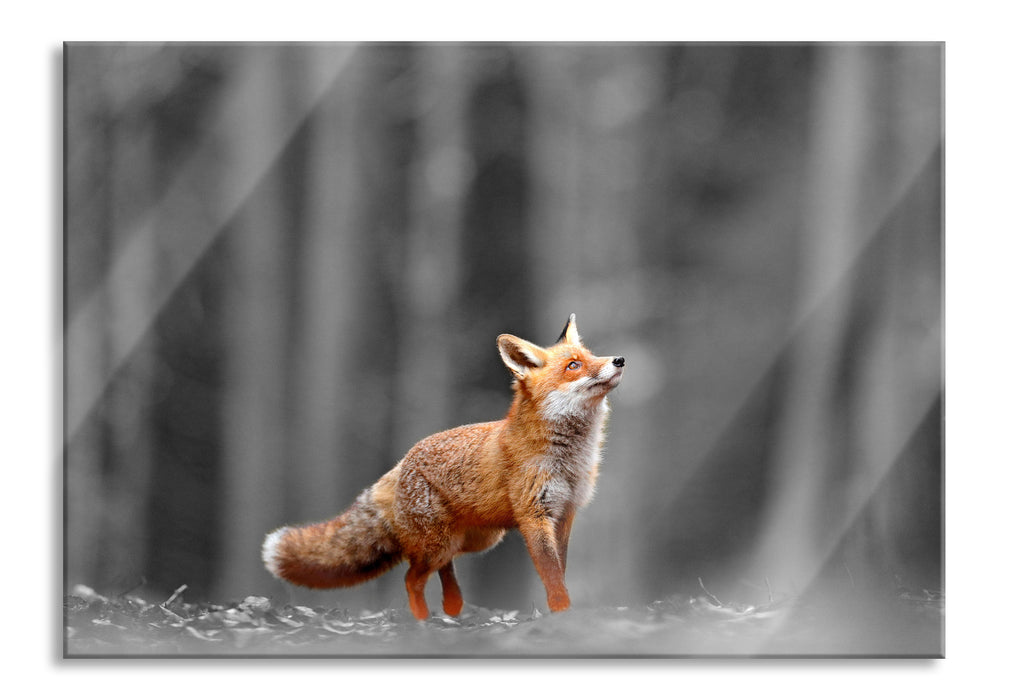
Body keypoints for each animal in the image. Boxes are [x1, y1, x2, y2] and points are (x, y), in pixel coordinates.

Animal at [262, 313, 624, 620]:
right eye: (573, 365)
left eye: (591, 355)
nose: (618, 360)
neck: (570, 459)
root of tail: (401, 463)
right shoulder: (534, 515)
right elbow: (551, 575)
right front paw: (562, 613)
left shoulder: (564, 514)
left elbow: (559, 571)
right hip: (441, 543)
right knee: (411, 578)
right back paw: (423, 621)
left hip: (474, 539)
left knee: (442, 569)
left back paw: (453, 607)